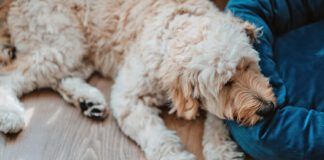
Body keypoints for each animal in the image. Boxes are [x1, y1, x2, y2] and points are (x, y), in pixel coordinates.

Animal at [0, 0, 276, 159]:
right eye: (225, 83)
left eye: (248, 65)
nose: (268, 109)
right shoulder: (128, 99)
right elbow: (159, 137)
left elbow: (218, 119)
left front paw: (220, 150)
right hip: (66, 43)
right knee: (11, 75)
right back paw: (11, 114)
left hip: (79, 49)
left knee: (58, 78)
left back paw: (88, 101)